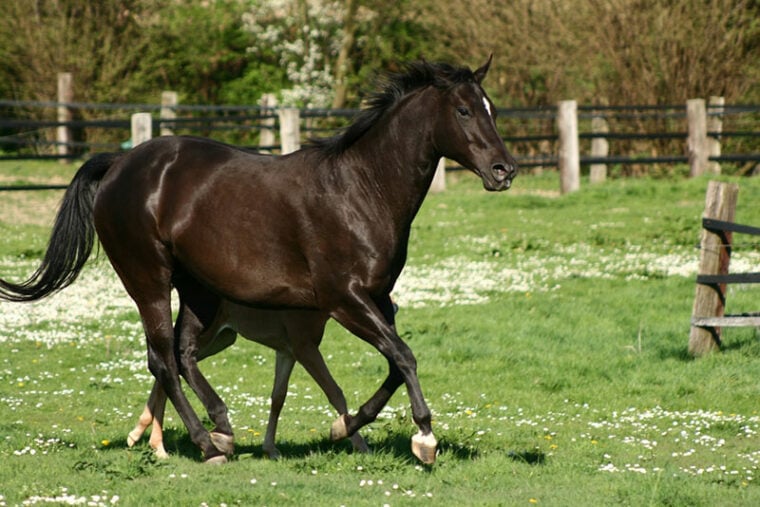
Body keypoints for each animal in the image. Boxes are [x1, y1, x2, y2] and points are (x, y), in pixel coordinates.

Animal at [0, 57, 516, 466]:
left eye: (491, 107)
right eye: (465, 110)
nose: (504, 170)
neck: (361, 189)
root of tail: (117, 165)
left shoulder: (377, 298)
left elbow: (393, 362)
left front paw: (345, 428)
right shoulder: (344, 299)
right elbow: (404, 356)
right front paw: (424, 438)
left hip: (201, 292)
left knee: (182, 354)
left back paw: (223, 430)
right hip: (149, 280)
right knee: (162, 358)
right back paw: (207, 444)